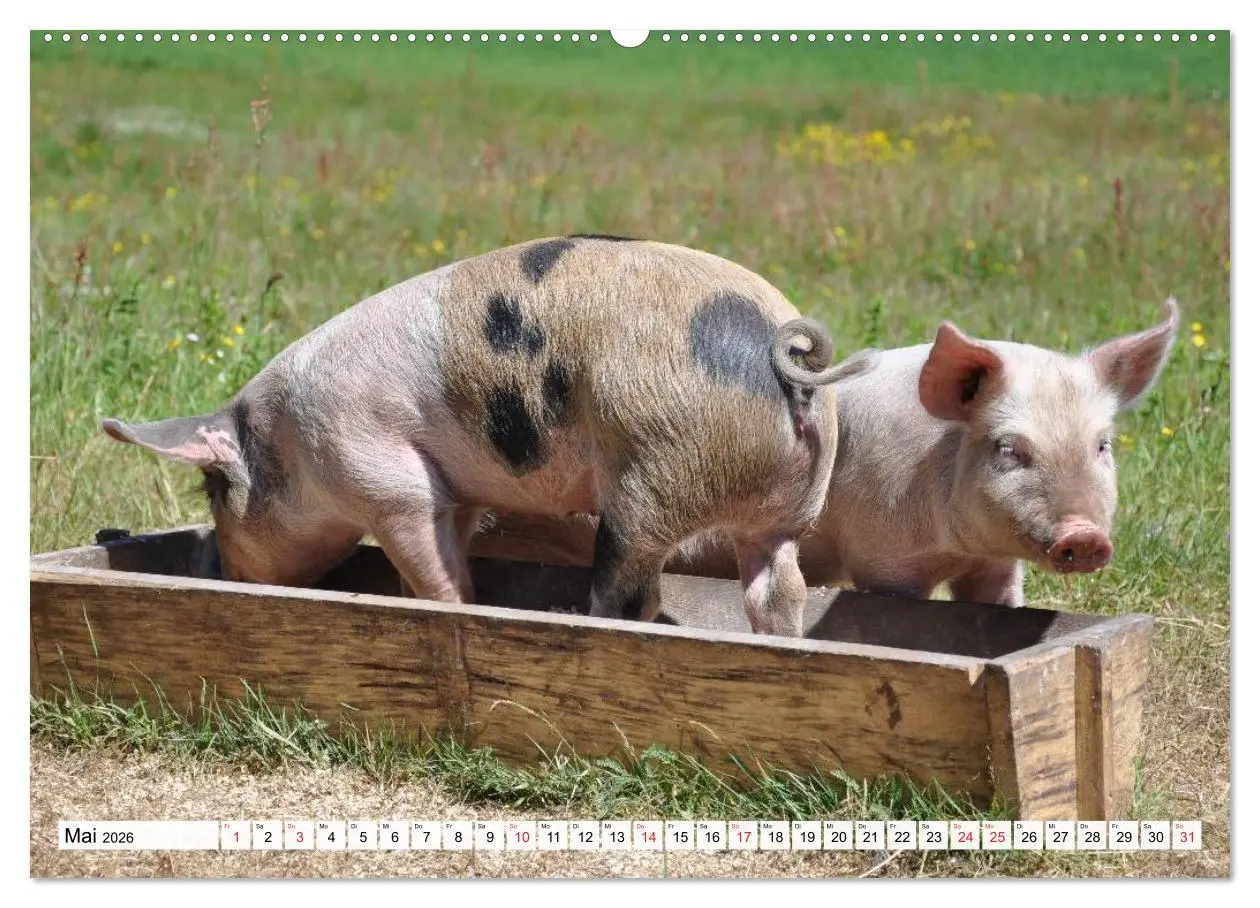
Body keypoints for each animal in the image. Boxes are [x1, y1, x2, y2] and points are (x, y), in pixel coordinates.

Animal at [102, 236, 871, 636]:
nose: (227, 572)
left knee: (632, 592)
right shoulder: (460, 489)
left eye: (213, 489)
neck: (289, 444)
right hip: (784, 512)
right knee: (778, 588)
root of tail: (786, 356)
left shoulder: (385, 480)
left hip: (653, 474)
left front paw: (451, 612)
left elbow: (433, 569)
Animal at [662, 298, 1180, 606]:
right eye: (1008, 448)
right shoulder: (882, 558)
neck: (955, 549)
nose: (1085, 535)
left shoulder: (993, 566)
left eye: (1102, 445)